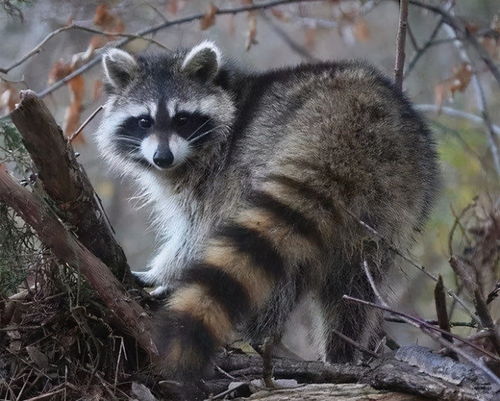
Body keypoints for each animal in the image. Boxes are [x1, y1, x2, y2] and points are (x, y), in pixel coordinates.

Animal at [95, 40, 440, 378]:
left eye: (182, 119)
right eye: (144, 121)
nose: (162, 158)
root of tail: (355, 124)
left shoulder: (220, 173)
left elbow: (197, 234)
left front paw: (161, 275)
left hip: (263, 159)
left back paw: (257, 332)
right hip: (396, 200)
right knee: (354, 284)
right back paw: (340, 349)